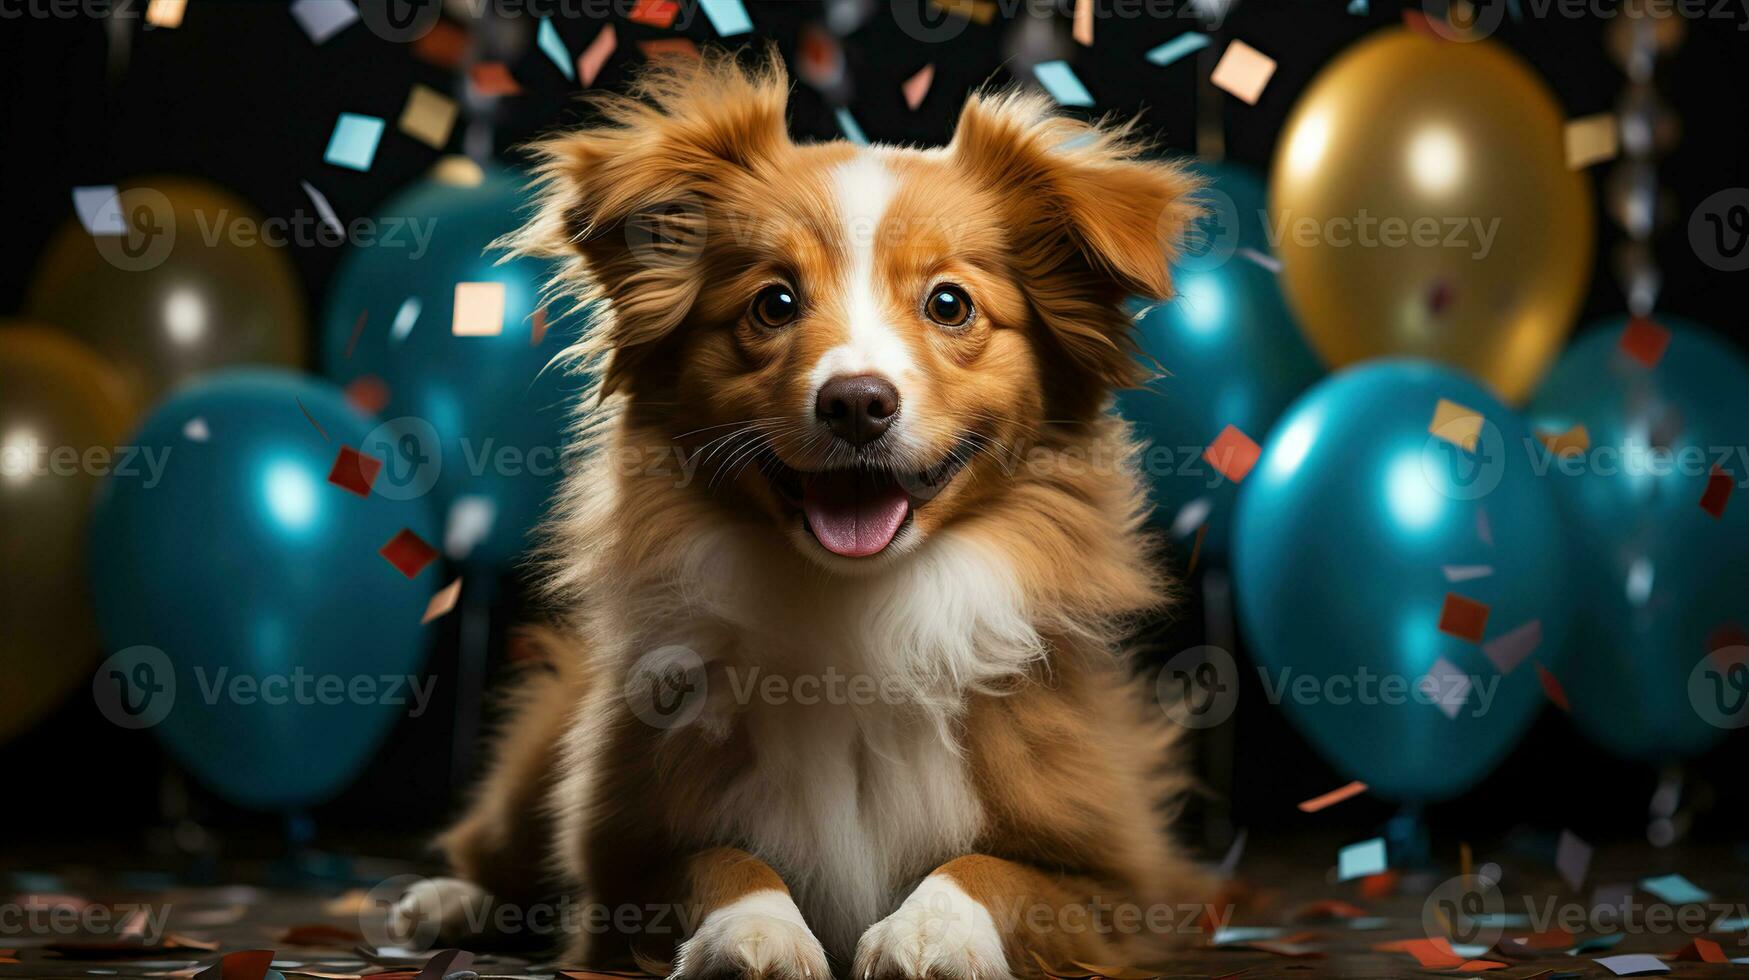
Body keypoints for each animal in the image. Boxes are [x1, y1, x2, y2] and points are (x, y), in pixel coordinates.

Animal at [397, 51, 1217, 980]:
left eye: (949, 304)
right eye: (774, 304)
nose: (856, 402)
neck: (861, 610)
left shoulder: (1127, 888)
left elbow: (991, 870)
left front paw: (930, 930)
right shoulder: (619, 871)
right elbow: (716, 858)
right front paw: (754, 930)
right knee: (491, 853)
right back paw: (446, 902)